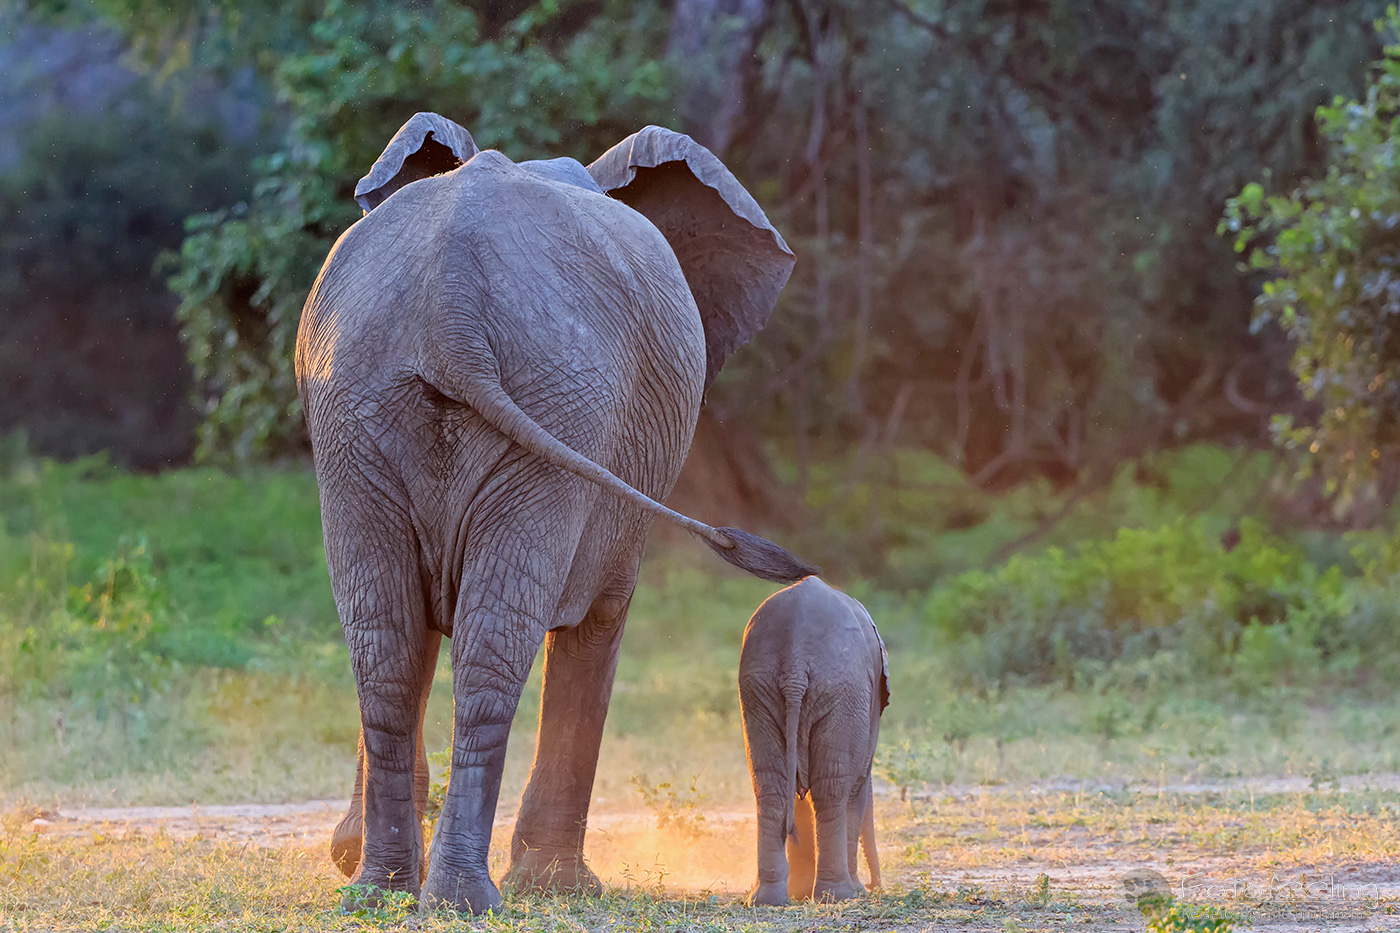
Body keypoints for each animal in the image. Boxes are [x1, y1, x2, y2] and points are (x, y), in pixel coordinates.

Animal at [295, 112, 817, 914]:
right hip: (531, 404)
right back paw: (459, 898)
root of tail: (450, 303)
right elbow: (600, 620)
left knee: (387, 638)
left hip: (370, 404)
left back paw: (386, 894)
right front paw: (559, 885)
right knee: (480, 637)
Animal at [738, 576, 888, 906]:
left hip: (757, 690)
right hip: (841, 692)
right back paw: (839, 895)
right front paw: (855, 892)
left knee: (771, 786)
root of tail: (794, 667)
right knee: (832, 789)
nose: (876, 887)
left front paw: (800, 893)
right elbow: (857, 786)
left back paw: (767, 899)